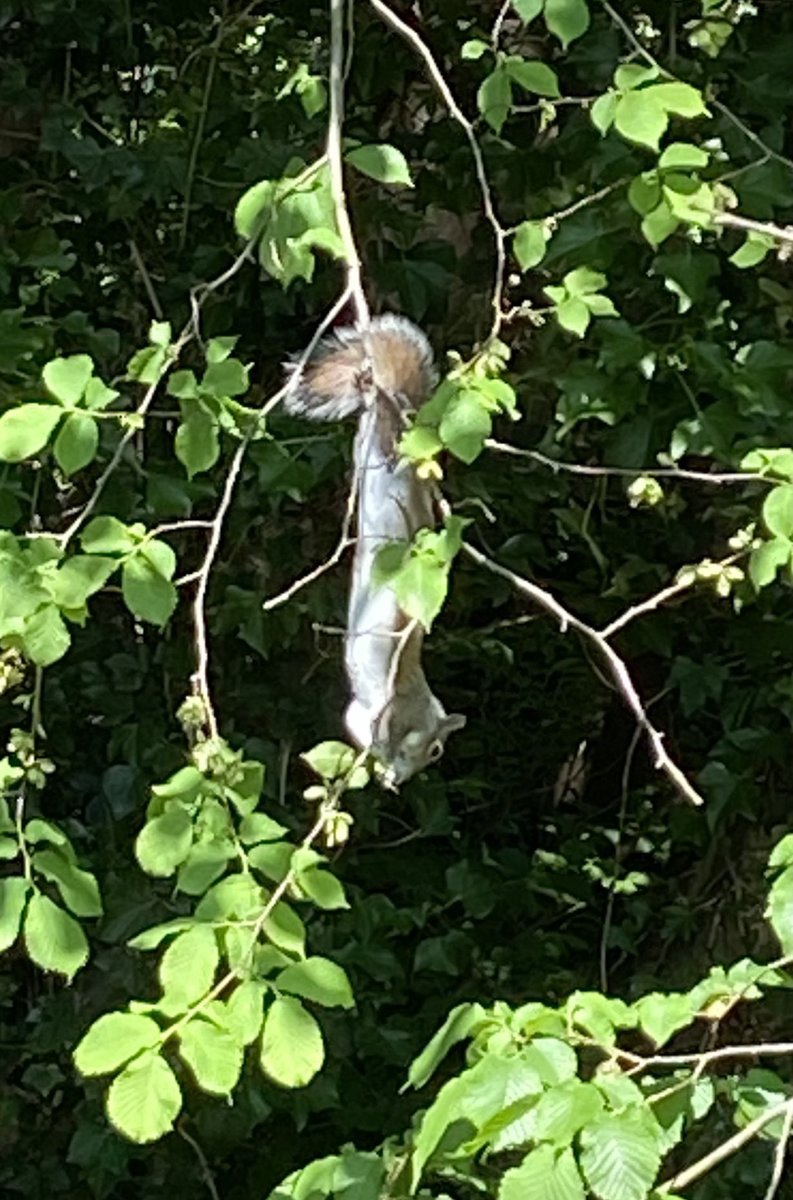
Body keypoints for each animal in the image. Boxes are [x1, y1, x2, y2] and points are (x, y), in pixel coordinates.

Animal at [284, 314, 467, 787]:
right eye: (436, 750)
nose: (401, 782)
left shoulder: (360, 712)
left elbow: (356, 724)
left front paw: (377, 766)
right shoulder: (391, 707)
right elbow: (383, 730)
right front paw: (384, 758)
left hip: (367, 447)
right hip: (399, 461)